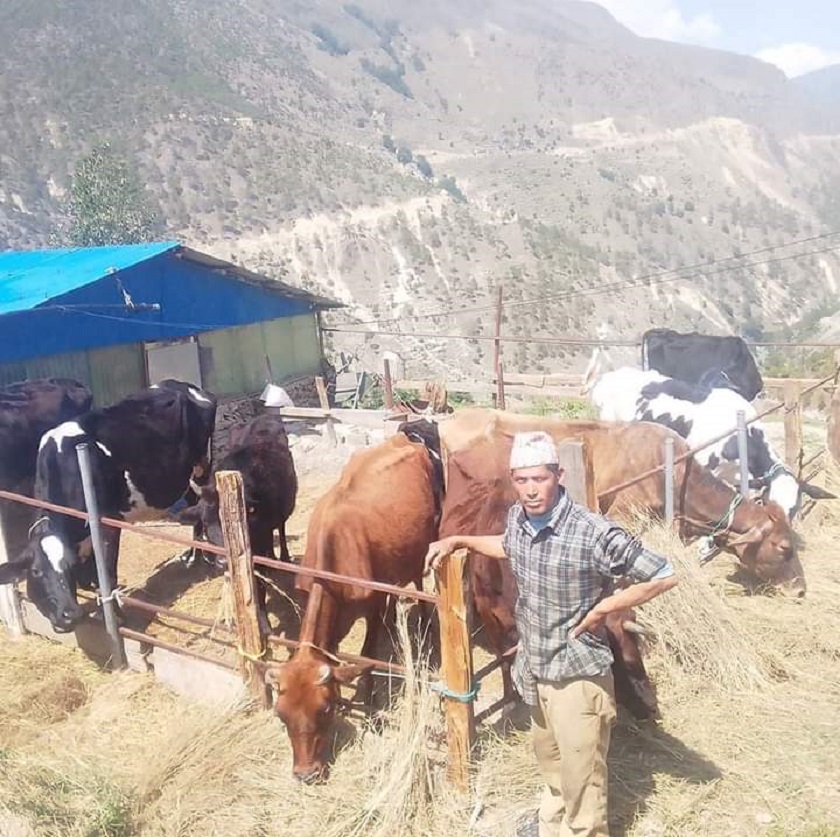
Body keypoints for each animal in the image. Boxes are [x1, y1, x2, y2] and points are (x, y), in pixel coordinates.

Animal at [0, 382, 220, 632]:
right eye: (36, 571)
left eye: (68, 567)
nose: (71, 615)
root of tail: (183, 385)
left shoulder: (109, 522)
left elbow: (107, 573)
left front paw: (114, 616)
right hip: (184, 478)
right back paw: (193, 557)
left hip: (201, 466)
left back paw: (200, 558)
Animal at [266, 424, 442, 784]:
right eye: (281, 714)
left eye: (323, 709)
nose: (306, 774)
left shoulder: (371, 605)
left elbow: (366, 654)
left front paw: (368, 700)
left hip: (425, 540)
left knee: (418, 581)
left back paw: (424, 621)